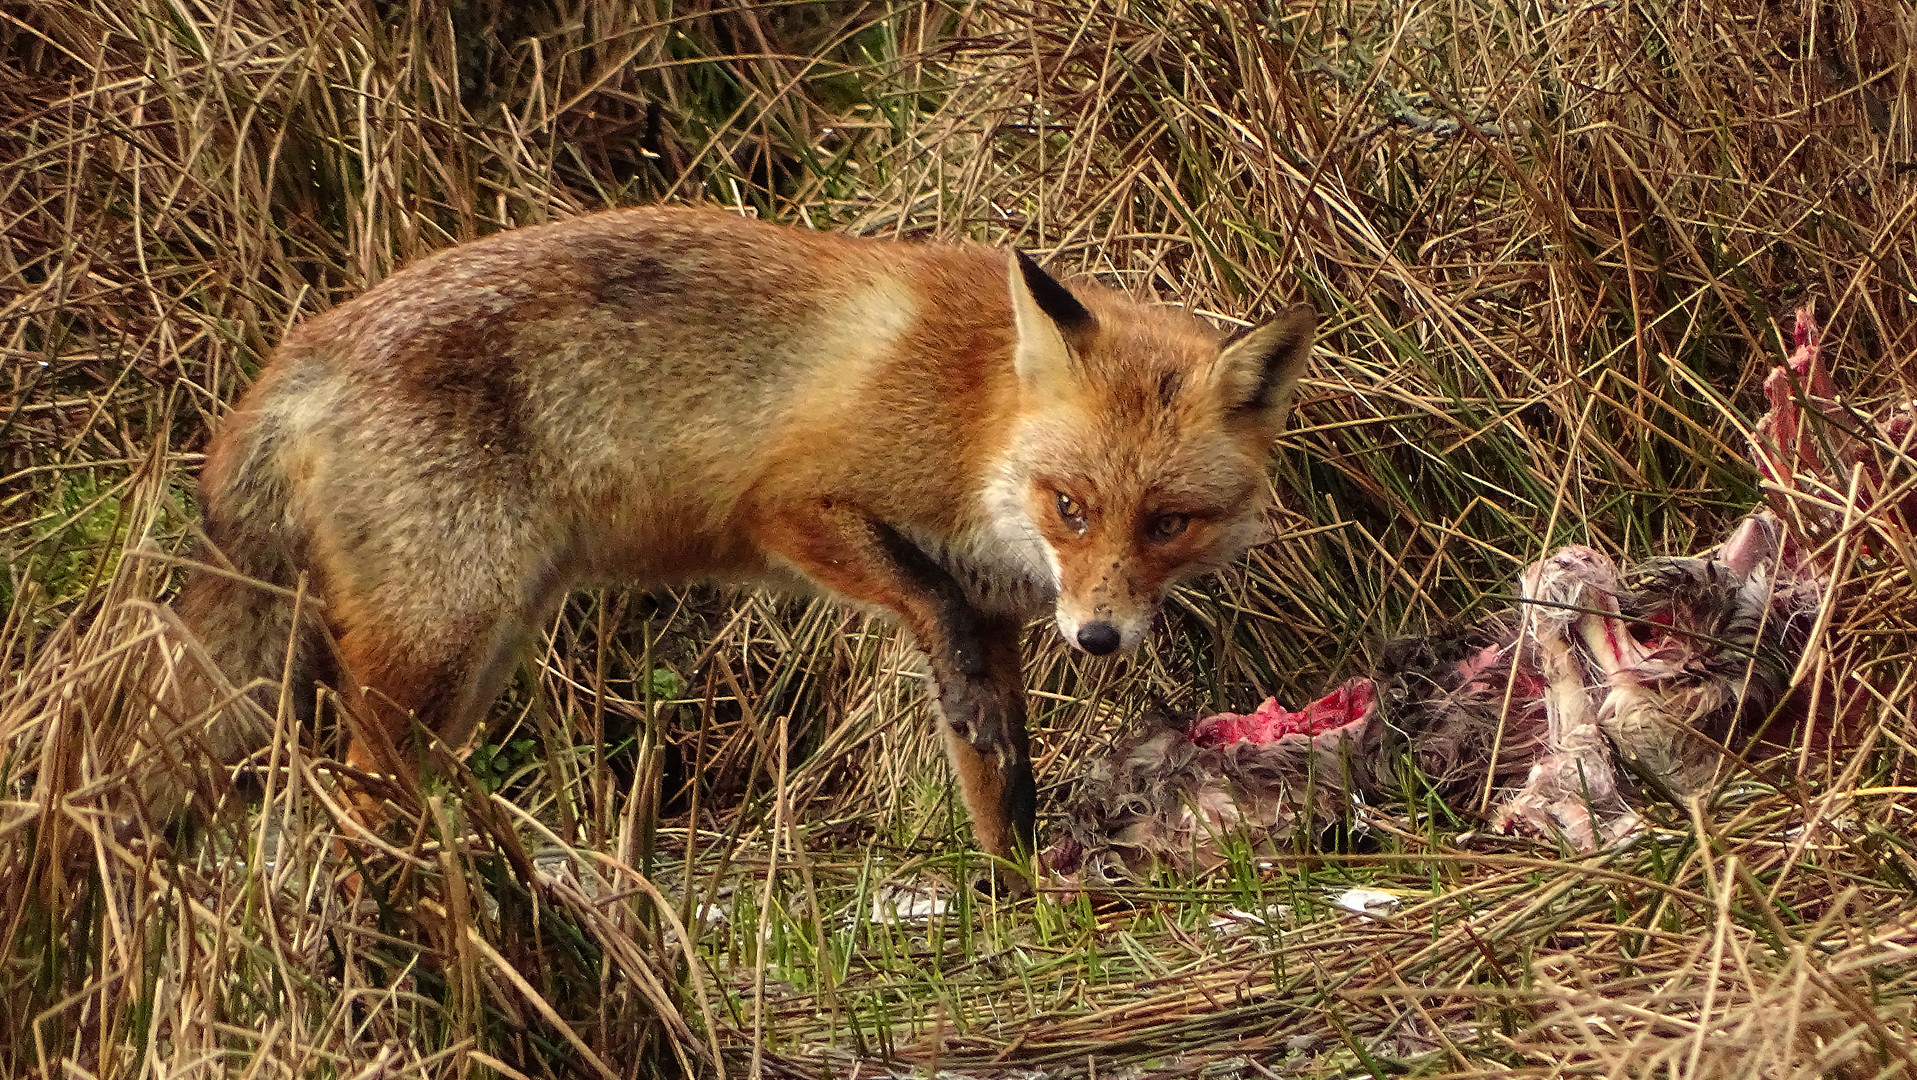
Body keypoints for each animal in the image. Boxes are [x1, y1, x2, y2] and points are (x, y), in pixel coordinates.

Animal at [157, 205, 1318, 886]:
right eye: (1071, 505)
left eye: (1167, 522)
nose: (1099, 640)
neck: (975, 420)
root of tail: (306, 346)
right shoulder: (789, 505)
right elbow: (926, 606)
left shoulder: (996, 614)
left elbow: (1000, 778)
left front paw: (1019, 897)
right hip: (436, 647)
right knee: (350, 799)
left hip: (478, 655)